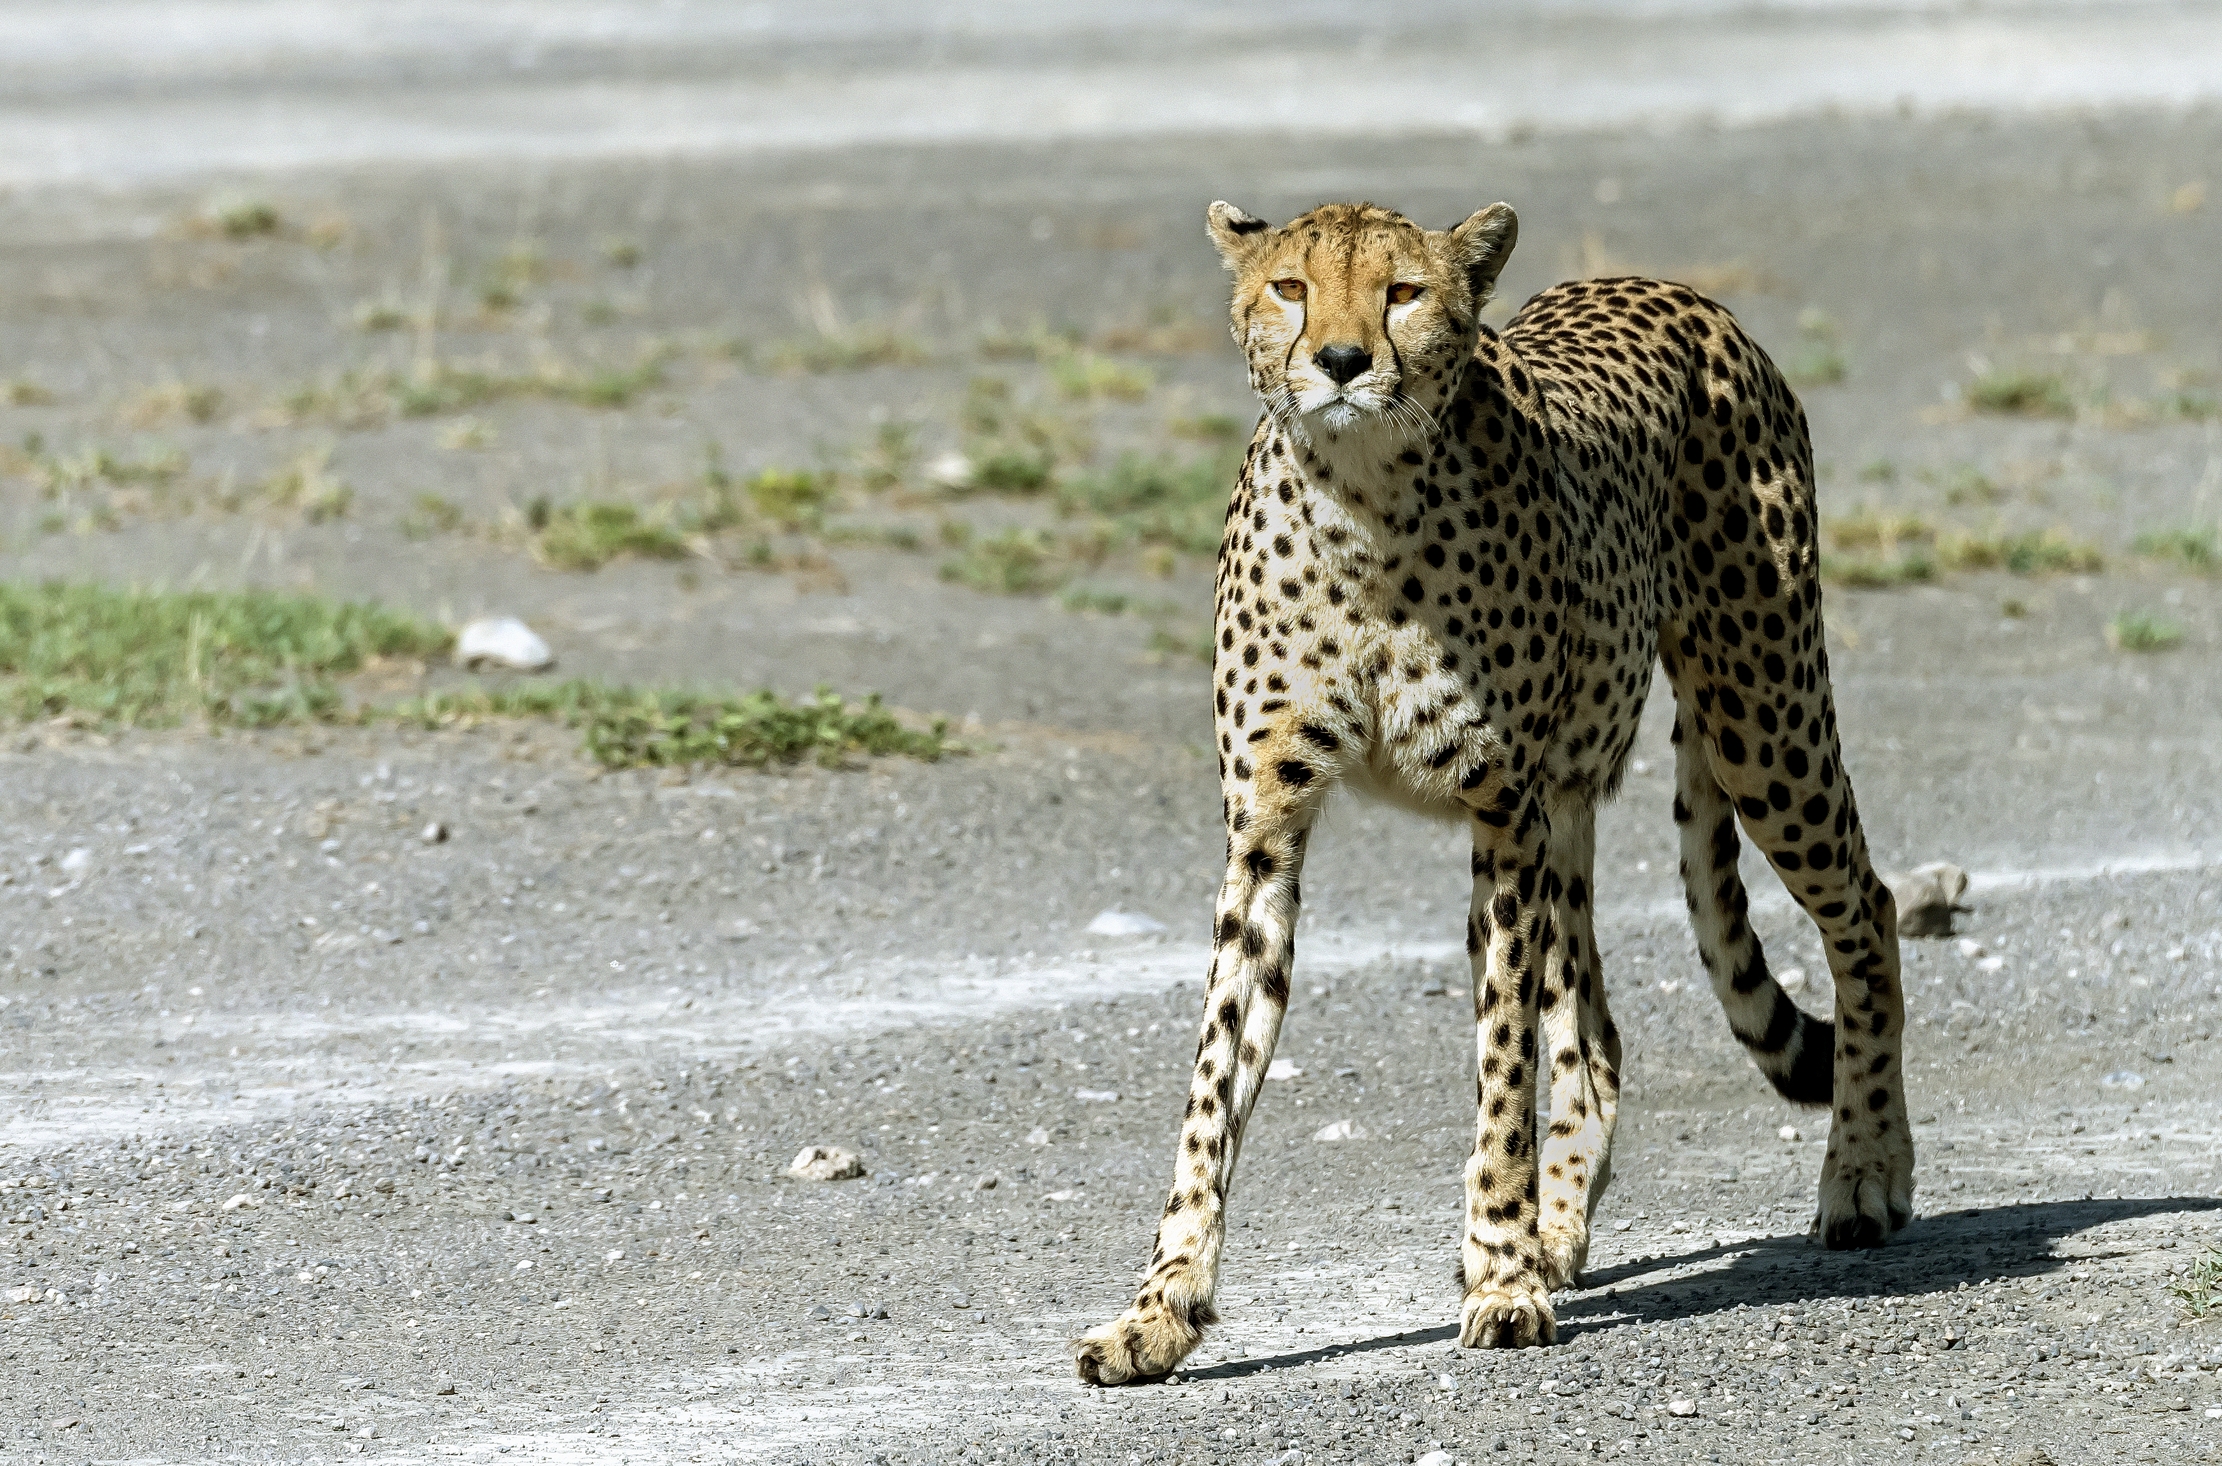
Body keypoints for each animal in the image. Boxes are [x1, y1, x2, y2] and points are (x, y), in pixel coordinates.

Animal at [1072, 198, 1913, 1385]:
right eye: (1289, 287)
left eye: (1403, 293)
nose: (1341, 361)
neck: (1361, 504)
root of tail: (1675, 293)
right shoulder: (1266, 828)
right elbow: (1214, 1077)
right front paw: (1161, 1304)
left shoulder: (1500, 814)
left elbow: (1502, 1065)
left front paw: (1503, 1277)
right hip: (1580, 799)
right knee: (1596, 1031)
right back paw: (1561, 1225)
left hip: (1761, 718)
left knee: (1867, 909)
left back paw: (1865, 1171)